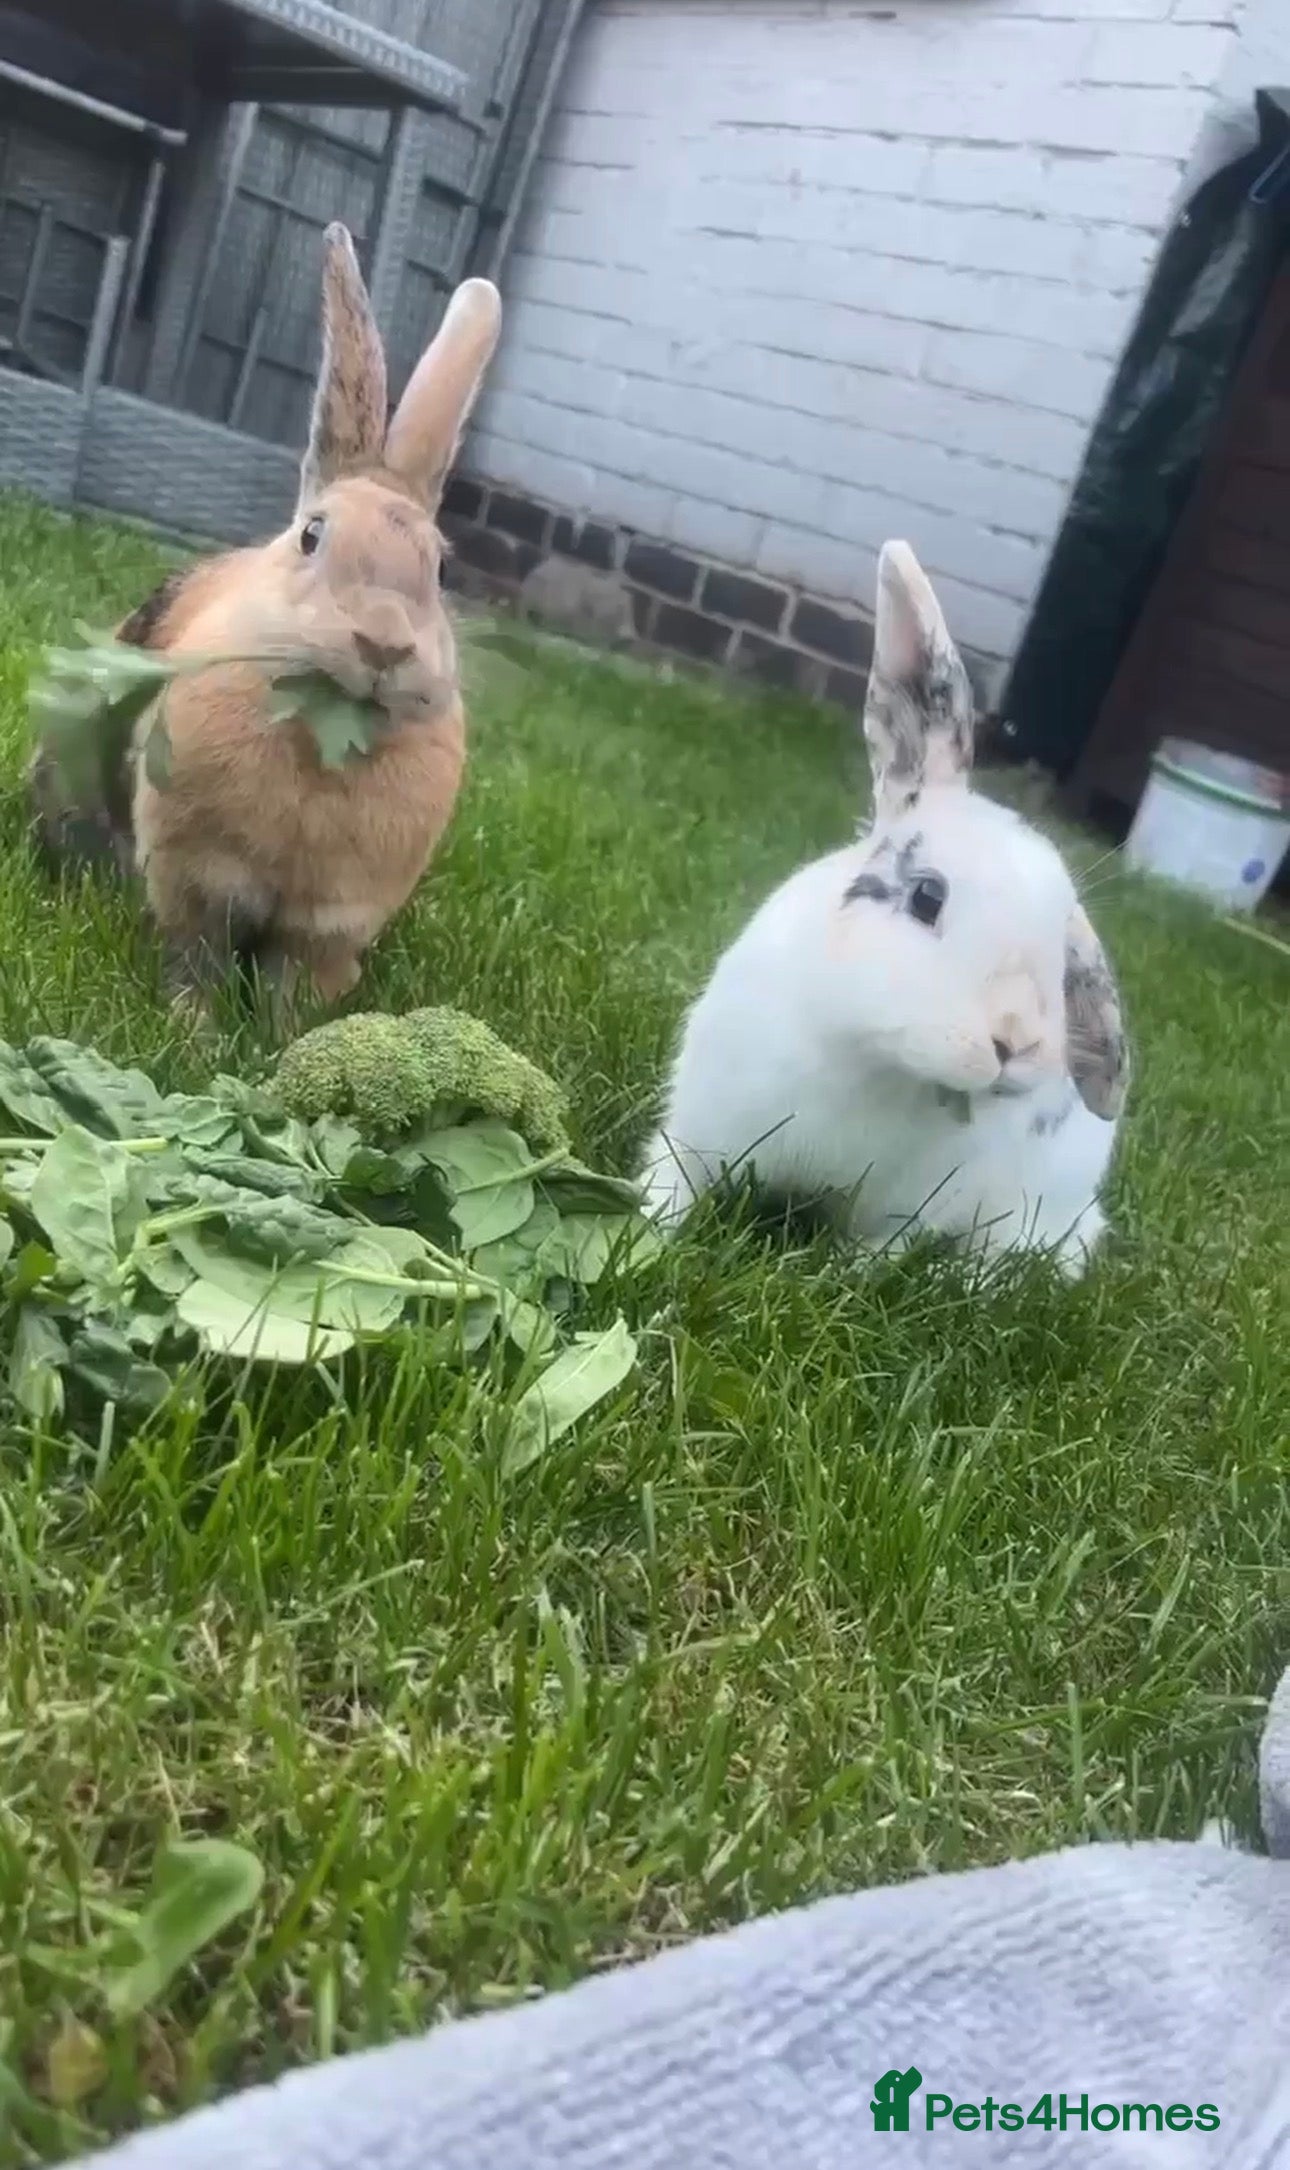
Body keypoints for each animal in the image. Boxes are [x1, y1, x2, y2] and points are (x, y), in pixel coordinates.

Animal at [35, 222, 501, 1019]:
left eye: (440, 569)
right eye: (313, 535)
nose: (384, 644)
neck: (322, 741)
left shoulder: (330, 925)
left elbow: (296, 989)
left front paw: (282, 1037)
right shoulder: (196, 884)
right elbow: (196, 962)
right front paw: (195, 1031)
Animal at [639, 541, 1130, 1279]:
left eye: (1062, 951)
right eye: (928, 896)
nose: (1015, 1042)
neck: (877, 1061)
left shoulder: (909, 1211)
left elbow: (874, 1253)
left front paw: (836, 1276)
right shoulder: (702, 1126)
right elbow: (671, 1179)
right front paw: (642, 1234)